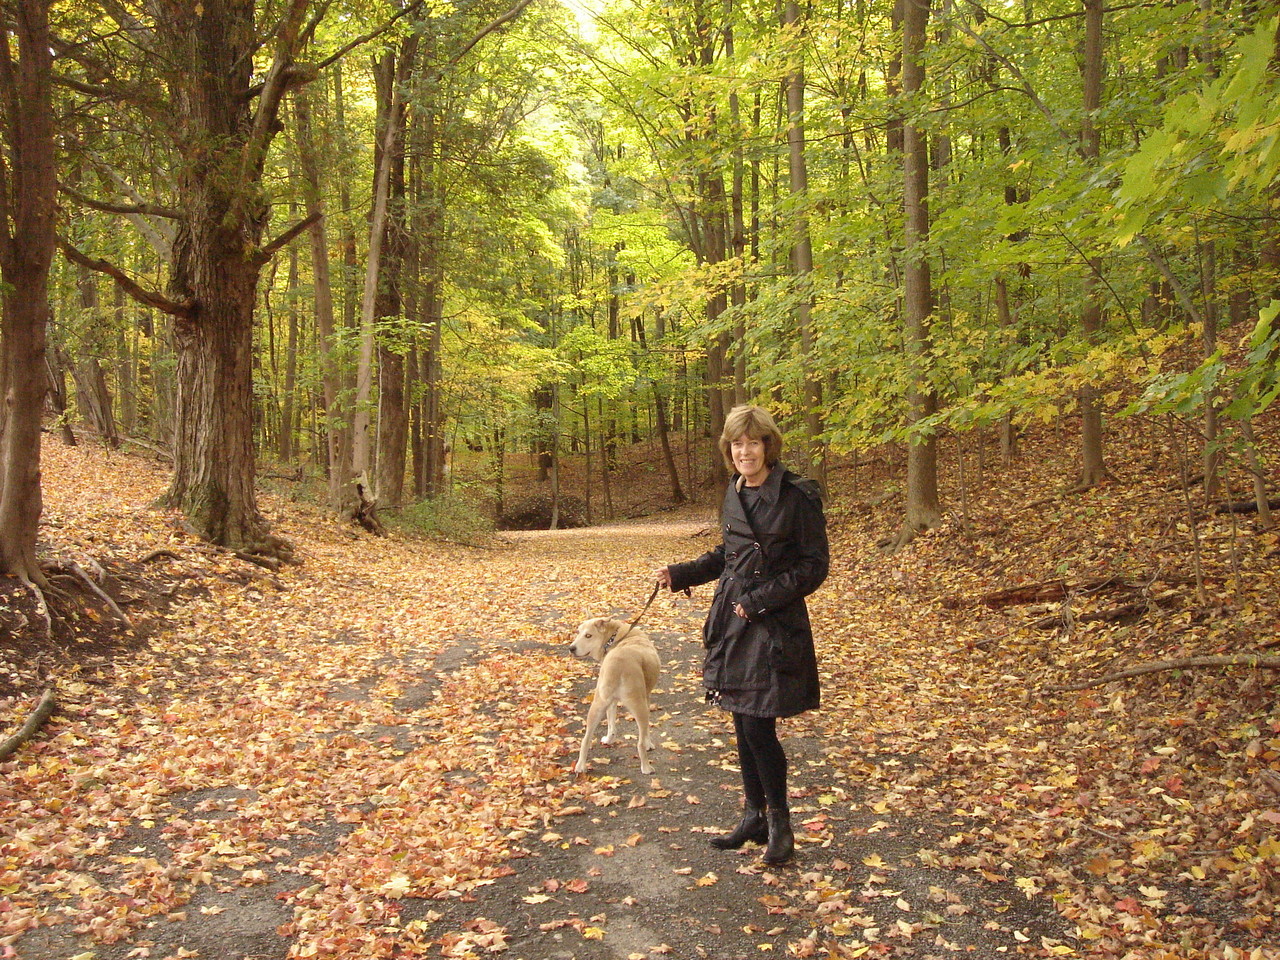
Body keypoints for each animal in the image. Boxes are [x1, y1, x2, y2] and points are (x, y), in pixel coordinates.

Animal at [576, 619, 665, 778]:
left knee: (586, 739)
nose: (571, 648)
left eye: (588, 635)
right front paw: (649, 744)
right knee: (640, 743)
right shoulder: (646, 698)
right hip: (639, 706)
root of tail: (616, 662)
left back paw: (580, 766)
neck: (616, 637)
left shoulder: (611, 702)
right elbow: (646, 731)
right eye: (578, 632)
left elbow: (611, 724)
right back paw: (646, 767)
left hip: (597, 704)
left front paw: (609, 739)